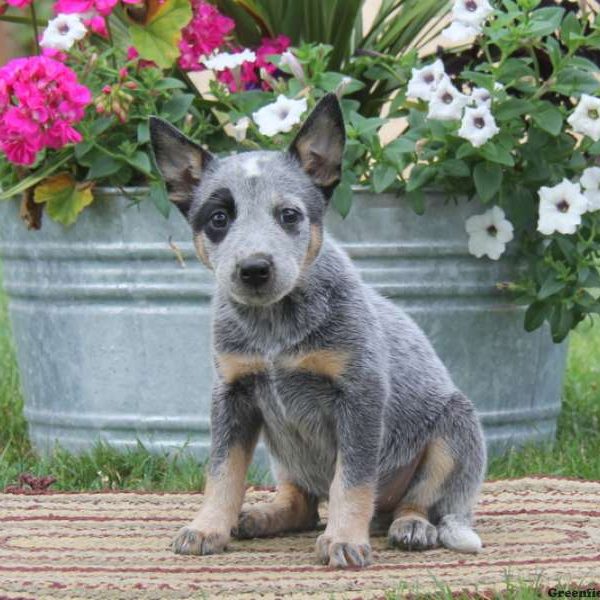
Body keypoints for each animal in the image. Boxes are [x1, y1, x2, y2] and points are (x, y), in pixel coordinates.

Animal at [149, 94, 488, 568]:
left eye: (289, 215)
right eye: (218, 218)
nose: (254, 268)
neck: (273, 330)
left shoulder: (360, 395)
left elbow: (352, 479)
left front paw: (344, 539)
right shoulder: (232, 394)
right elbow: (222, 471)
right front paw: (208, 526)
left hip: (454, 429)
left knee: (419, 499)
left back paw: (411, 526)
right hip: (284, 452)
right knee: (302, 504)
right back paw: (262, 516)